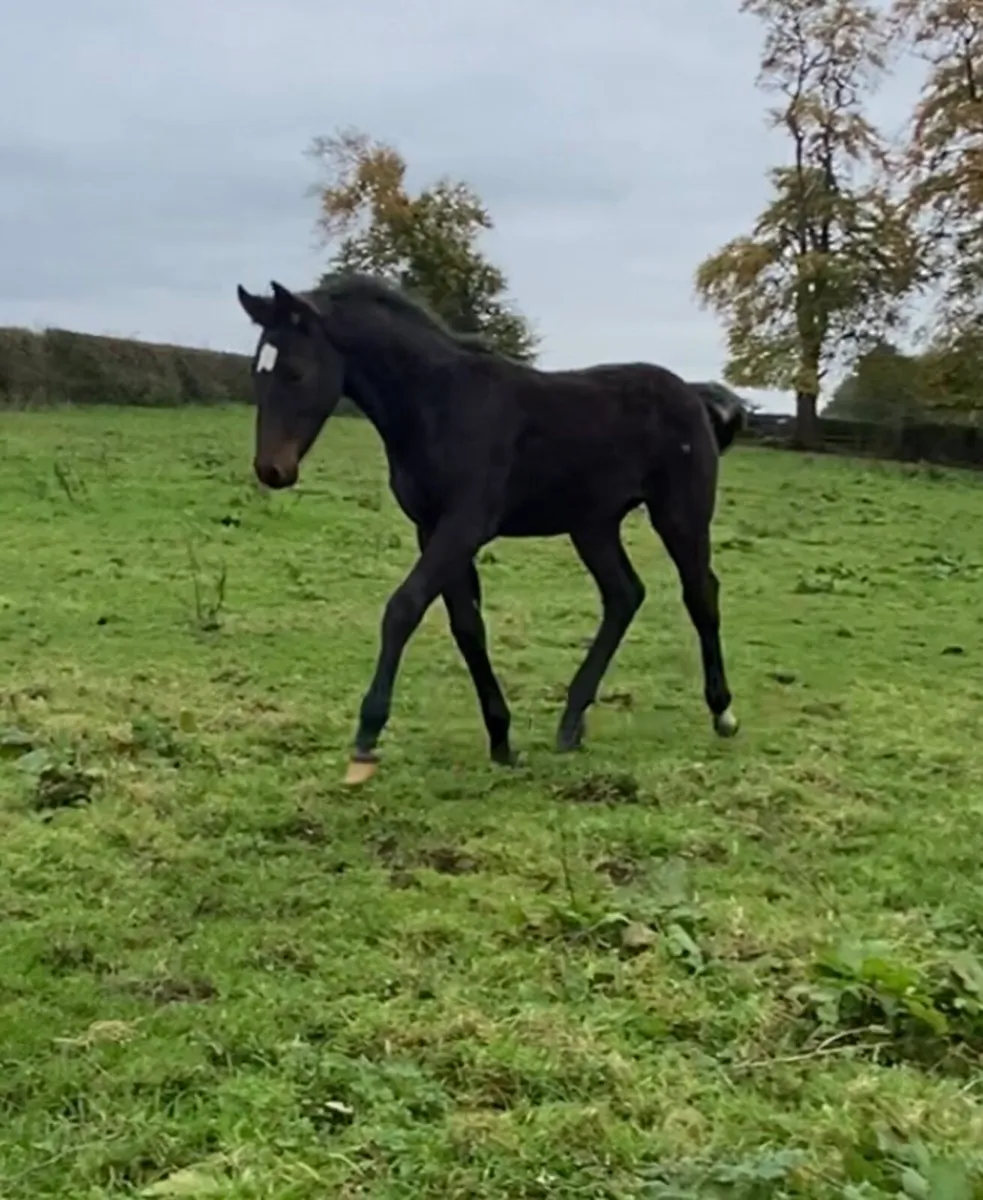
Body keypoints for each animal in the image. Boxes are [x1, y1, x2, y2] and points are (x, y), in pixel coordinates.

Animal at [236, 274, 746, 784]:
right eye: (258, 372)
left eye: (296, 372)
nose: (272, 470)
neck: (439, 403)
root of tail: (696, 397)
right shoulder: (431, 528)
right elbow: (467, 626)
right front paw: (501, 738)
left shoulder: (464, 525)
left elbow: (403, 608)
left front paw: (366, 739)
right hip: (593, 524)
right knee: (624, 595)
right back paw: (571, 721)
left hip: (679, 513)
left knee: (700, 594)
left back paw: (722, 712)